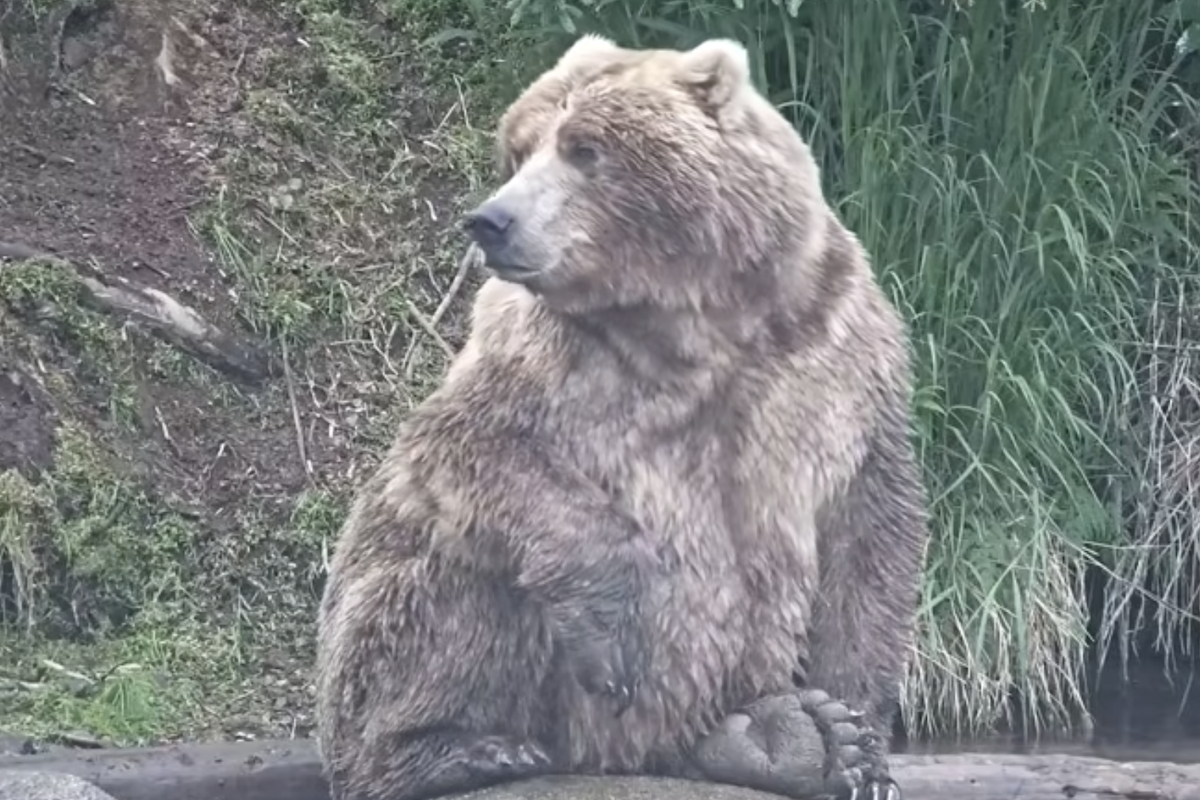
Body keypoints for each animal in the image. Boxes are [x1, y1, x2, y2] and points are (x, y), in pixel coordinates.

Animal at [314, 33, 928, 800]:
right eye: (518, 149)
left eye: (584, 148)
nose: (492, 220)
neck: (697, 321)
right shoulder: (544, 356)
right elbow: (468, 446)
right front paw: (616, 630)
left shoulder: (833, 347)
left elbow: (869, 527)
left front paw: (860, 744)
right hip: (401, 654)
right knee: (452, 581)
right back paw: (458, 749)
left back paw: (788, 739)